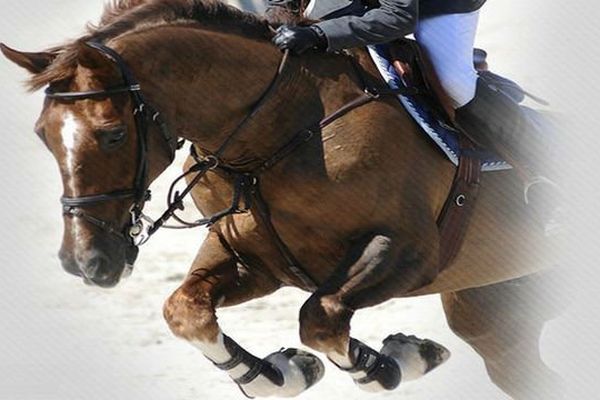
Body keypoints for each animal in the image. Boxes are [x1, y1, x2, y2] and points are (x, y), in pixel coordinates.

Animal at [1, 0, 564, 398]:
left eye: (113, 135)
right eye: (41, 134)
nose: (85, 263)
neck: (277, 131)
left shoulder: (408, 249)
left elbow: (320, 317)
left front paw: (397, 360)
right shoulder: (251, 257)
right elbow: (184, 311)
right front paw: (283, 372)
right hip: (494, 317)